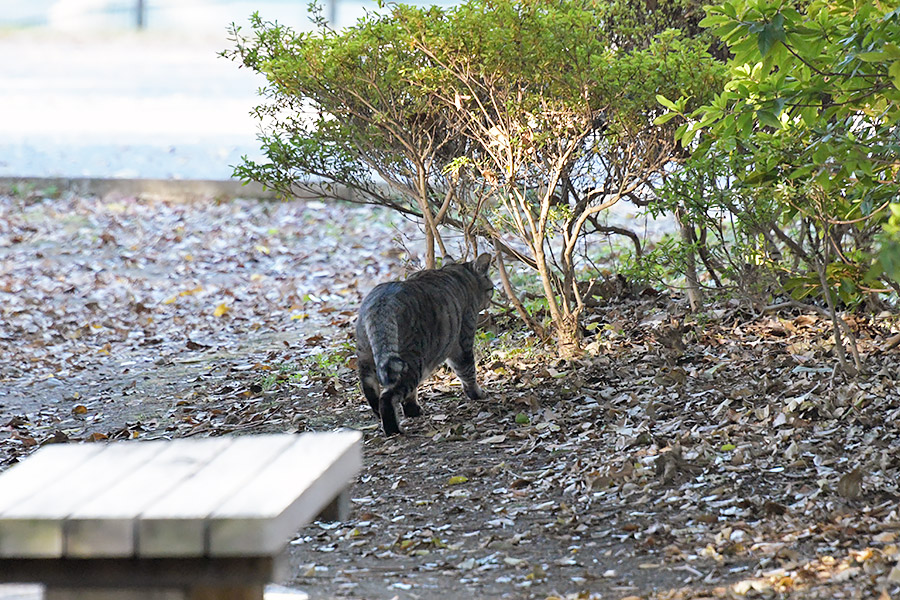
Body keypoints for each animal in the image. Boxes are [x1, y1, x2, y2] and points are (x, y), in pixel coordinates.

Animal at [356, 254, 492, 436]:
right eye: (491, 288)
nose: (490, 300)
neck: (458, 273)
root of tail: (382, 301)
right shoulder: (462, 341)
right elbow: (468, 371)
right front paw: (477, 394)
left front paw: (412, 409)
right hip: (414, 361)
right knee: (388, 396)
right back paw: (393, 429)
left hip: (366, 355)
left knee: (370, 388)